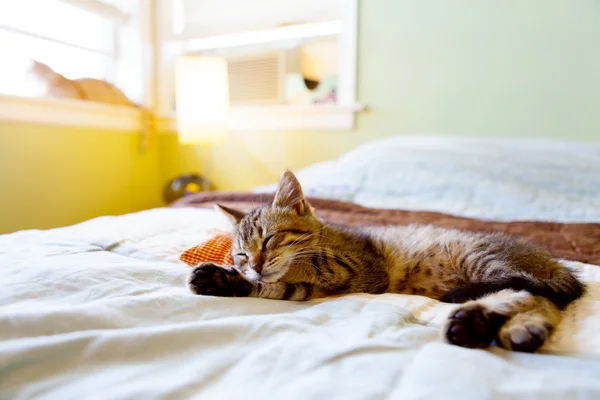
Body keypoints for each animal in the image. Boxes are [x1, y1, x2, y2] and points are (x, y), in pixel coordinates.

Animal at [186, 170, 580, 352]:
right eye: (240, 254)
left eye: (269, 238)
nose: (252, 264)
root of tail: (552, 260)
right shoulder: (317, 285)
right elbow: (281, 287)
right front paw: (226, 279)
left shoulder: (358, 269)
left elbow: (287, 277)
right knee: (547, 301)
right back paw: (520, 330)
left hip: (482, 261)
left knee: (526, 292)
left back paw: (475, 323)